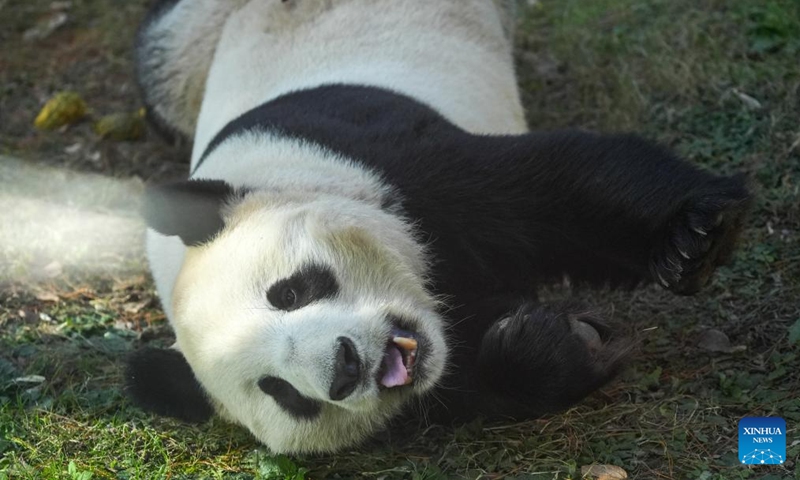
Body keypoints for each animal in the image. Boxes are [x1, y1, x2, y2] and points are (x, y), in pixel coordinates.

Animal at [128, 0, 752, 454]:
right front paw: (554, 341)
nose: (347, 367)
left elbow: (556, 187)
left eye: (289, 292)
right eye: (282, 393)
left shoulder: (378, 160)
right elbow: (469, 384)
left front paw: (695, 237)